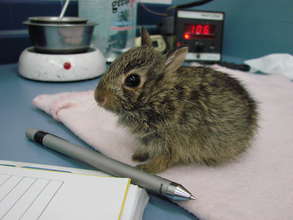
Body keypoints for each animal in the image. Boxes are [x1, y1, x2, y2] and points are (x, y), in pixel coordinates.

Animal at [94, 27, 256, 174]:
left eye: (132, 80)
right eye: (113, 63)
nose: (98, 98)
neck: (157, 96)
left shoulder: (173, 142)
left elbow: (165, 159)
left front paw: (145, 169)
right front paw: (138, 156)